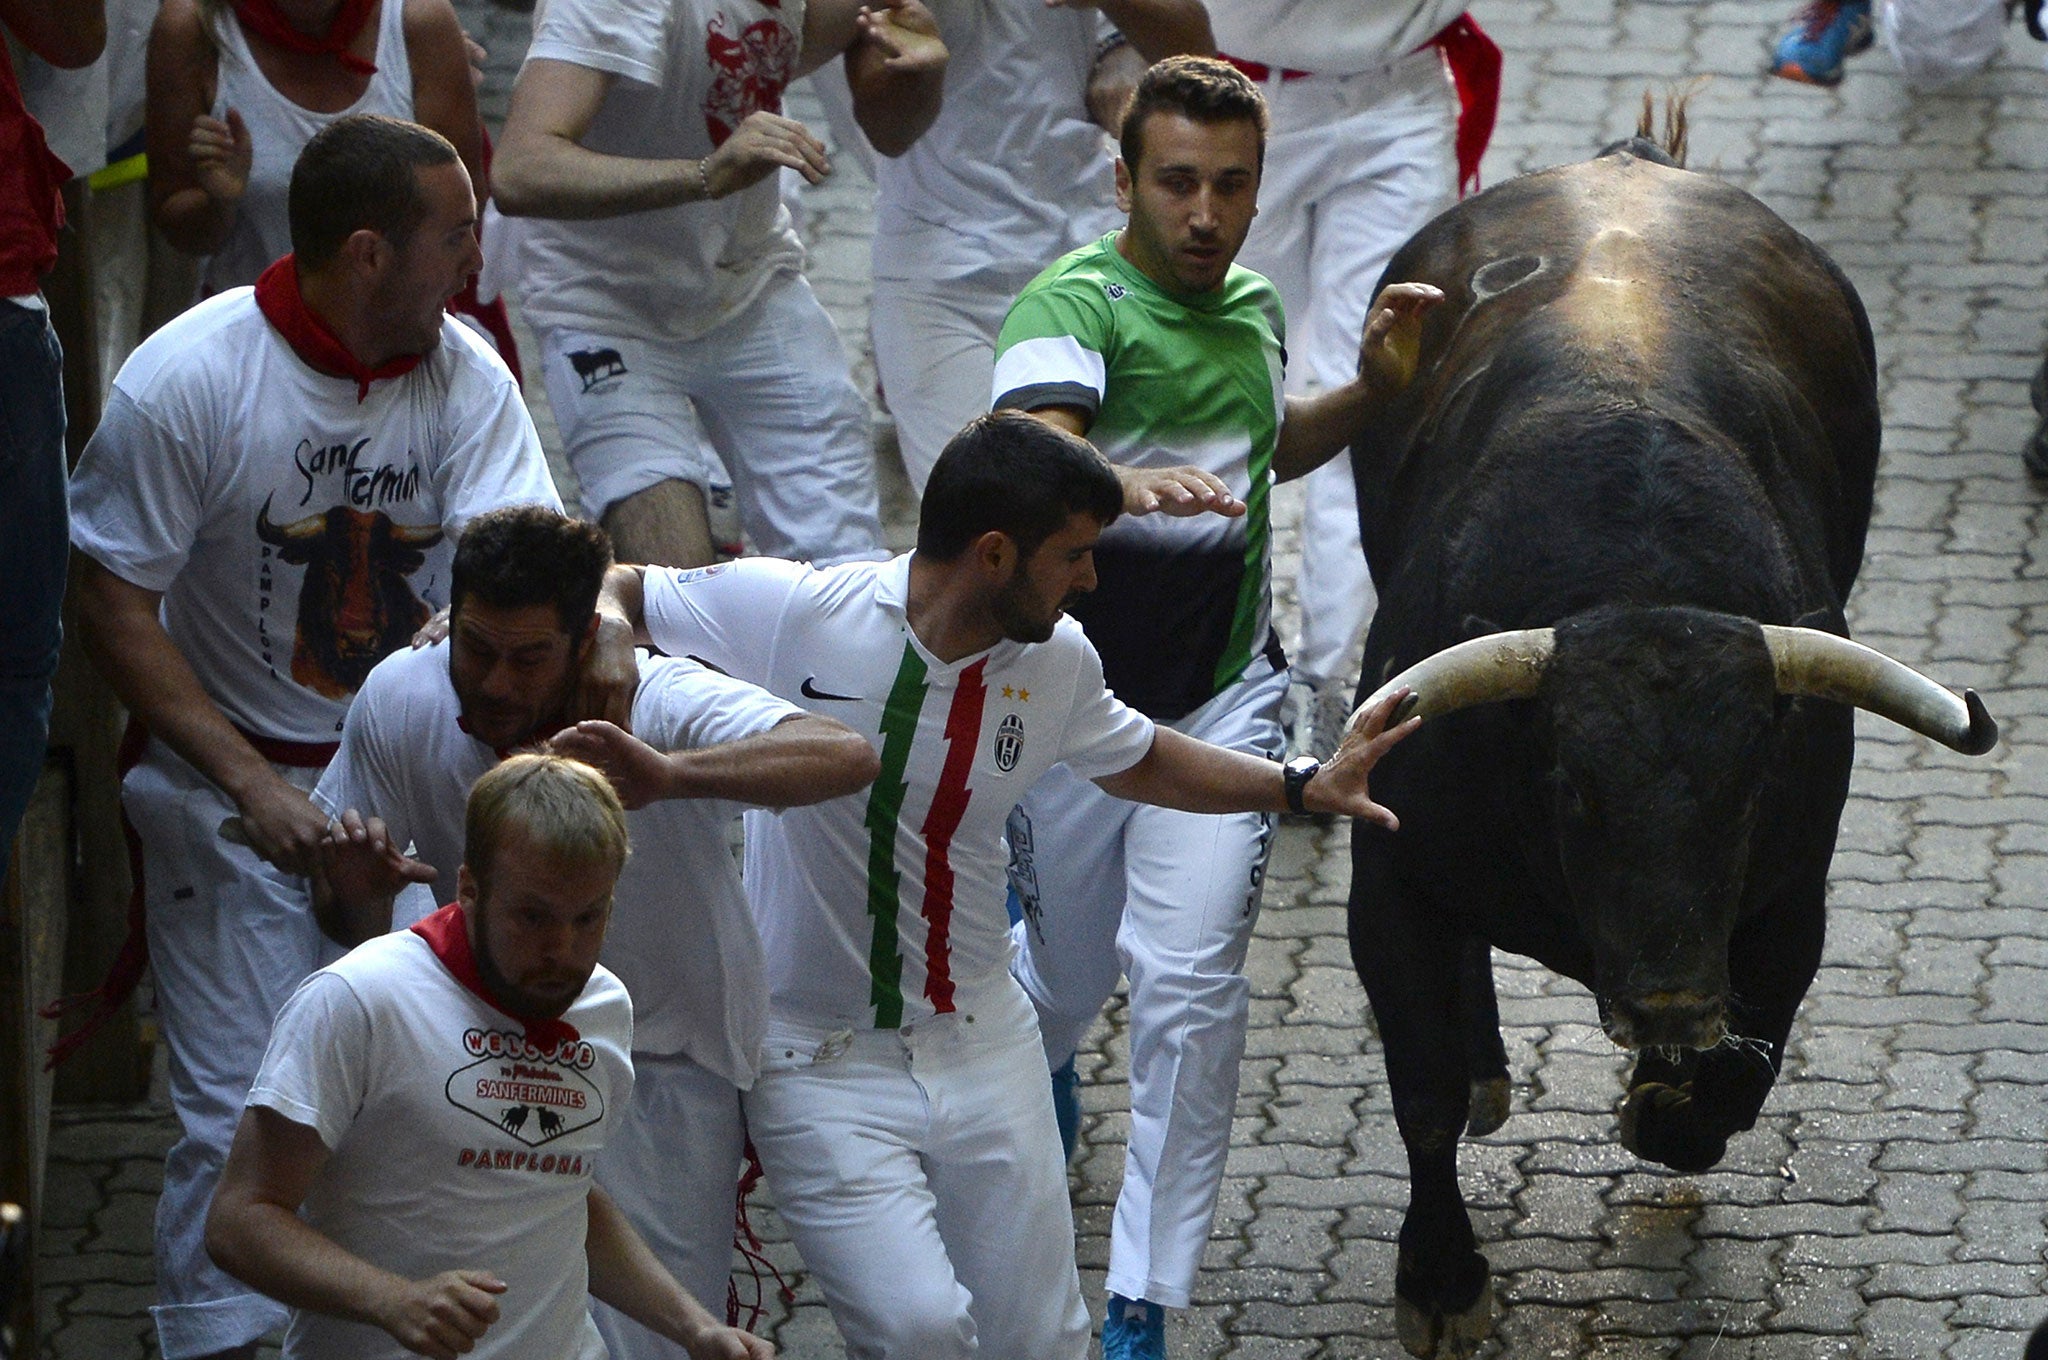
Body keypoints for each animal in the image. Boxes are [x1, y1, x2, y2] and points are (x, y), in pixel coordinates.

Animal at [1343, 124, 1998, 1351]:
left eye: (1748, 784)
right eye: (1570, 785)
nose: (1669, 1005)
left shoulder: (1786, 900)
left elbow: (1735, 1084)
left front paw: (1661, 1104)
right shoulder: (1392, 880)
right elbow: (1421, 1094)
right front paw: (1442, 1279)